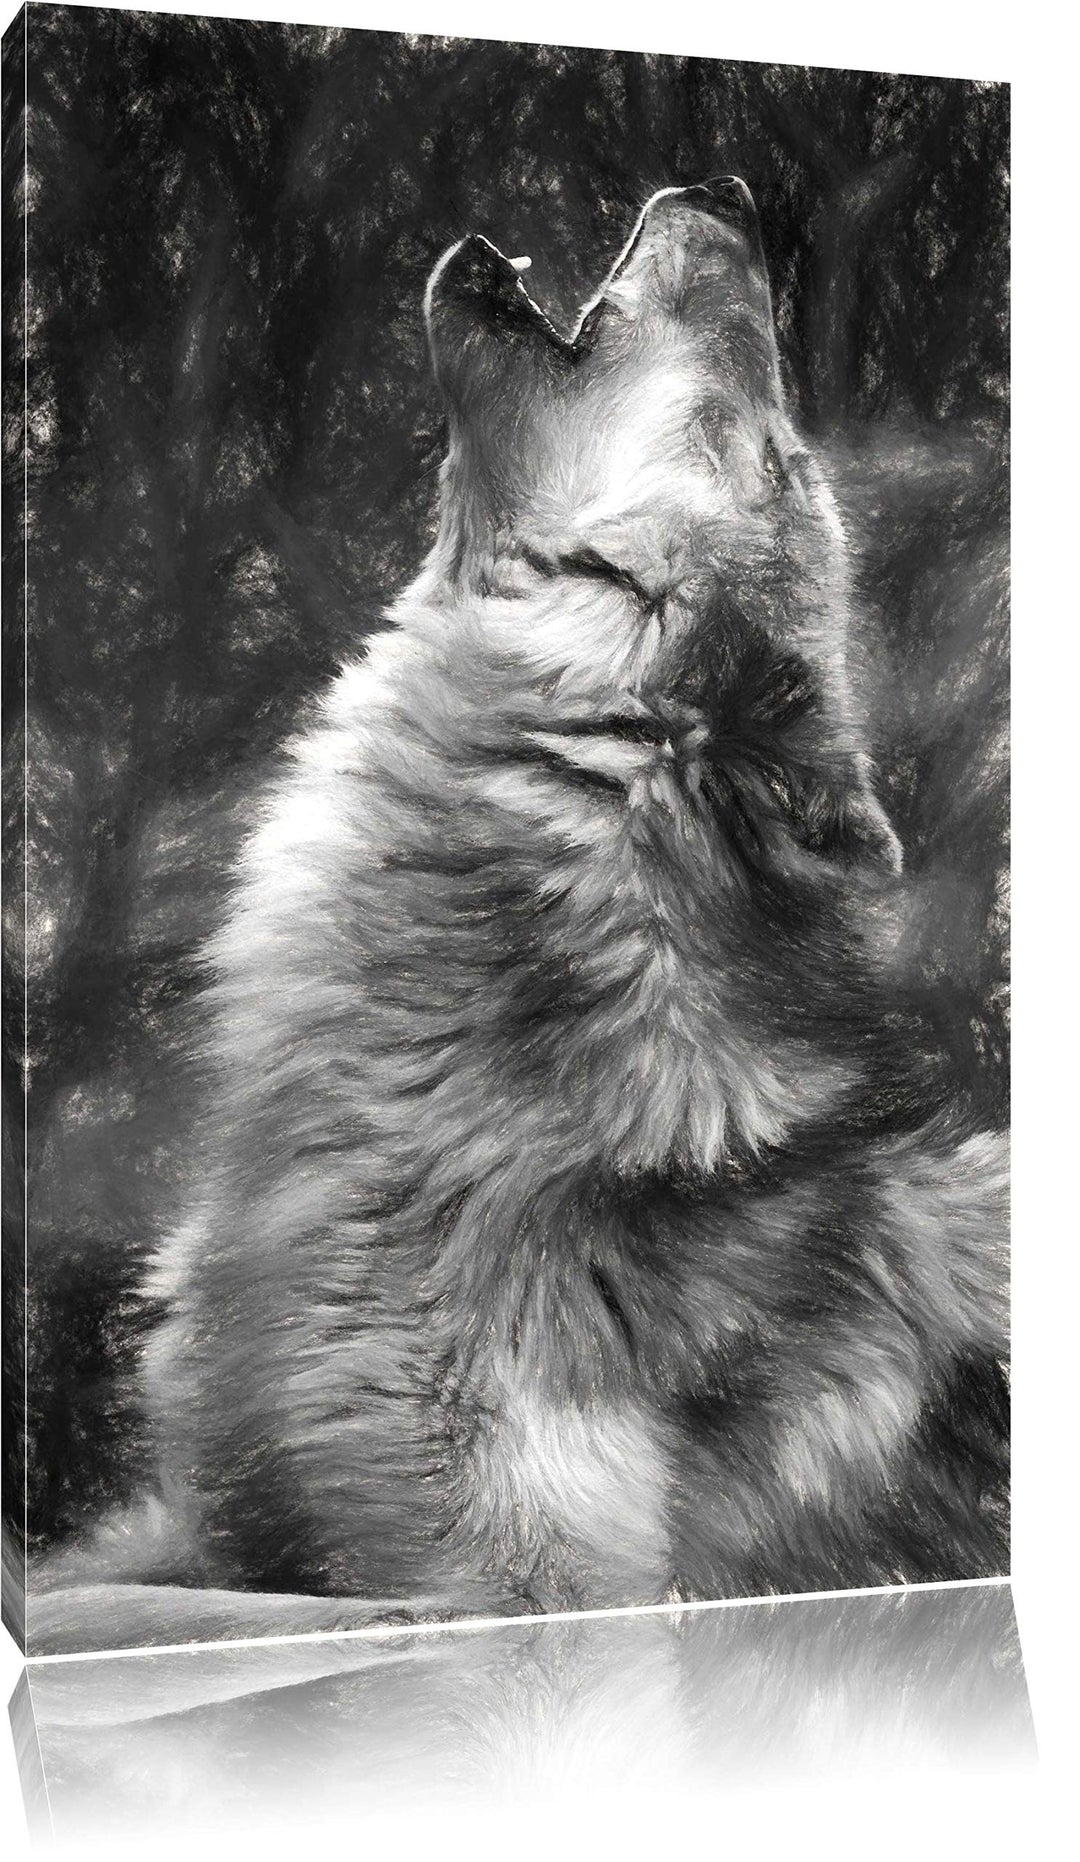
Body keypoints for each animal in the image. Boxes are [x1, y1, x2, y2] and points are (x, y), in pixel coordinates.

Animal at [30, 182, 1007, 1648]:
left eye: (774, 457)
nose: (727, 194)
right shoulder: (209, 1517)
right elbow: (85, 1583)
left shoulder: (506, 1582)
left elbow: (162, 1621)